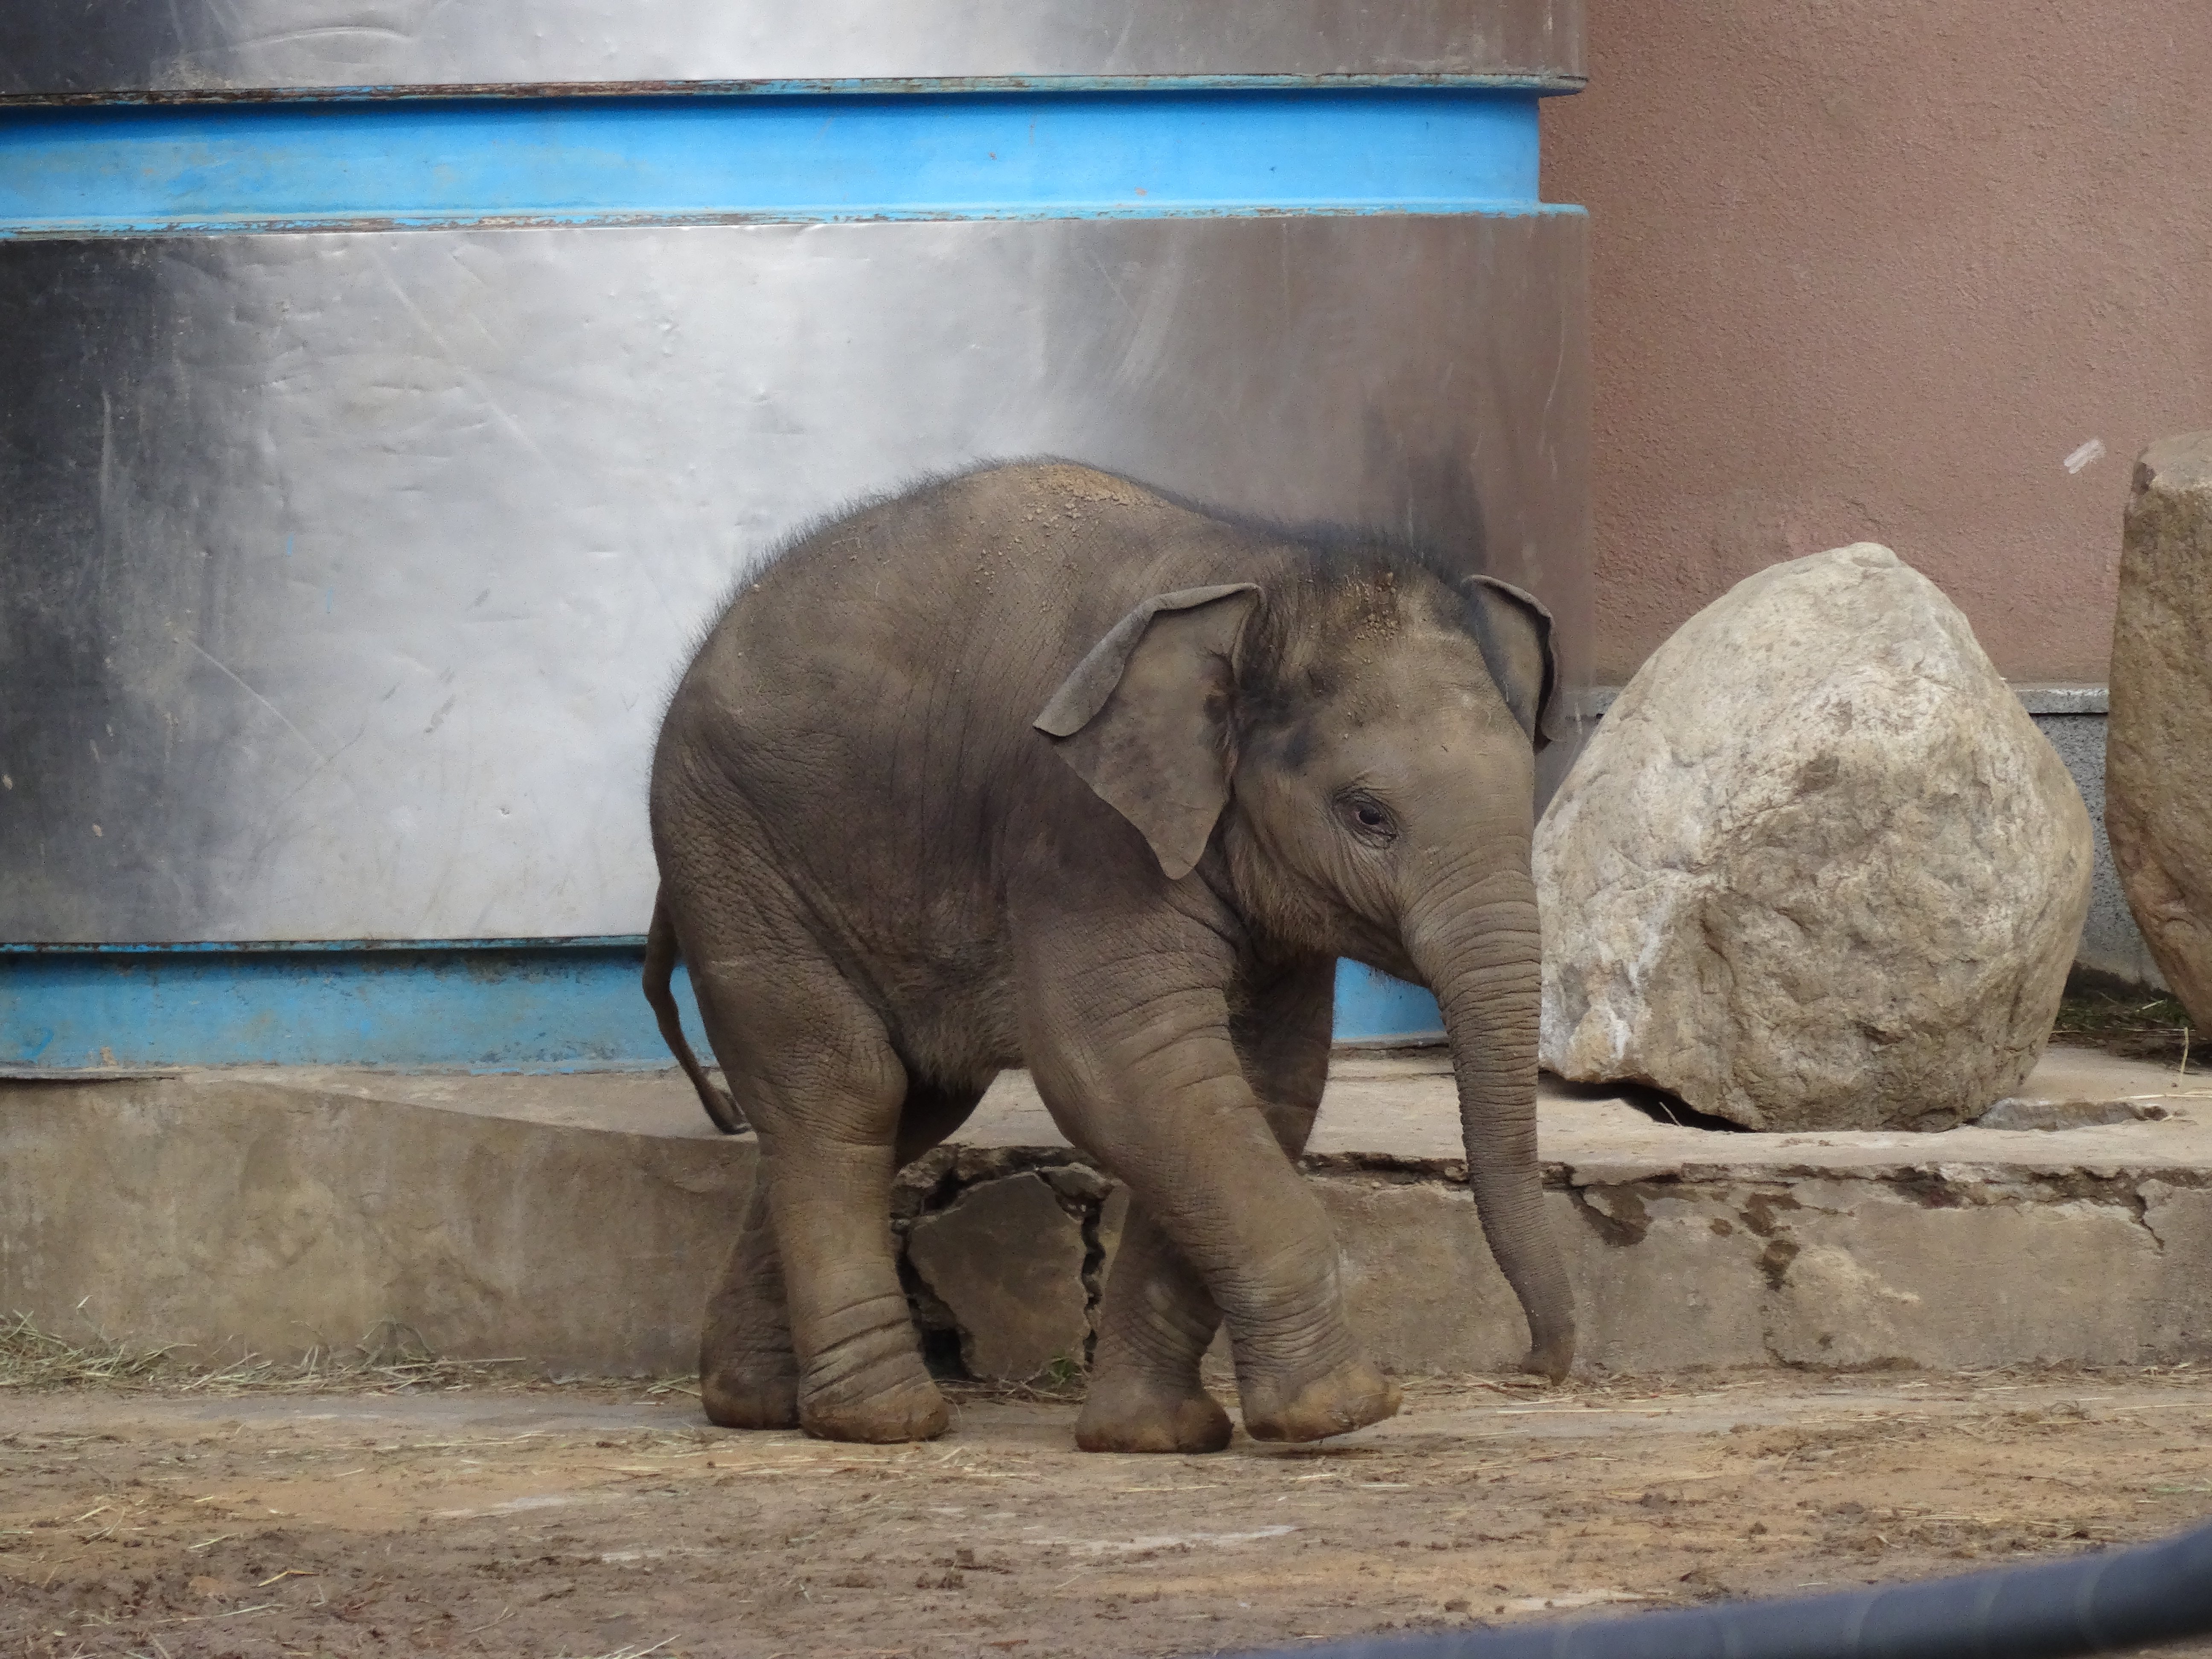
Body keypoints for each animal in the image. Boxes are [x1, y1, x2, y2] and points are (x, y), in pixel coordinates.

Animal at [641, 462, 1575, 1451]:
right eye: (1368, 815)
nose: (1534, 1366)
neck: (1266, 575)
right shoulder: (1080, 826)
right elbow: (1122, 1066)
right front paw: (1340, 1412)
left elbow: (1262, 1086)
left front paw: (1155, 1435)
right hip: (735, 853)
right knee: (843, 1090)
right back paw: (883, 1419)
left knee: (906, 1103)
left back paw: (751, 1402)